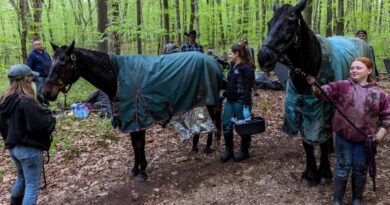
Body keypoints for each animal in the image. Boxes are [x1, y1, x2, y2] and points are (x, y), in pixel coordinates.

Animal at [43, 41, 224, 181]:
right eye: (51, 63)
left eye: (63, 63)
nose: (46, 92)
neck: (117, 78)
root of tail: (214, 62)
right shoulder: (128, 118)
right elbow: (134, 145)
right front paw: (135, 169)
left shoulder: (138, 117)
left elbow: (139, 144)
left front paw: (142, 171)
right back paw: (198, 146)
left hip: (211, 100)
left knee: (215, 121)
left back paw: (212, 147)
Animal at [258, 0, 330, 186]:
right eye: (269, 23)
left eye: (290, 22)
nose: (263, 58)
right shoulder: (301, 108)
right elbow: (306, 143)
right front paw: (311, 173)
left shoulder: (323, 110)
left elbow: (323, 140)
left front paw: (324, 171)